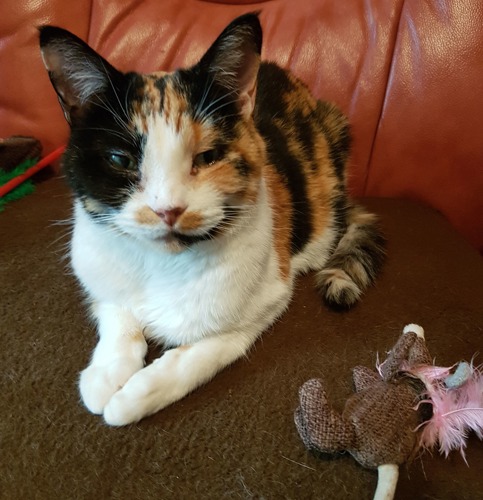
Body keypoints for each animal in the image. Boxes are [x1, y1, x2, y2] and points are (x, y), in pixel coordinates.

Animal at [38, 12, 386, 426]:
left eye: (207, 157)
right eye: (120, 159)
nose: (168, 210)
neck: (160, 267)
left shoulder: (264, 303)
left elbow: (197, 356)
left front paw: (132, 398)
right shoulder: (100, 279)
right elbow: (119, 317)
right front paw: (105, 376)